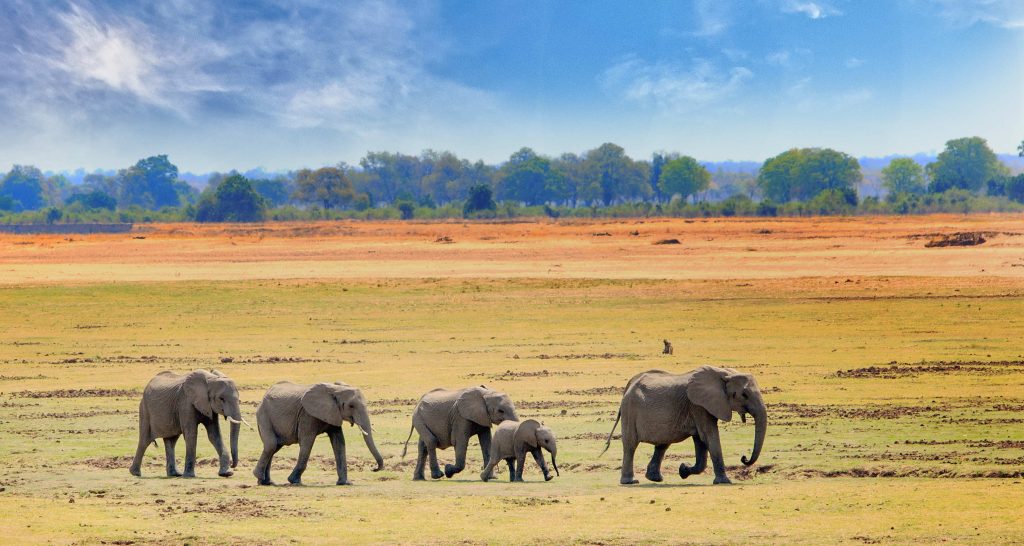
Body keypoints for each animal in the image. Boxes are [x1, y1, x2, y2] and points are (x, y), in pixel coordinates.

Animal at [251, 379, 385, 485]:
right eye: (351, 406)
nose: (374, 468)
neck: (336, 389)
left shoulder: (333, 413)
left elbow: (339, 443)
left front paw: (345, 483)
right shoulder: (307, 415)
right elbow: (307, 442)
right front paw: (294, 481)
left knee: (274, 447)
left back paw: (266, 482)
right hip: (263, 415)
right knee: (271, 445)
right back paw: (260, 478)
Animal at [598, 366, 770, 485]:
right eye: (744, 395)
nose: (744, 458)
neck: (723, 373)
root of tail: (629, 384)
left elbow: (701, 441)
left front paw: (683, 470)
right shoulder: (698, 405)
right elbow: (709, 435)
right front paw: (724, 482)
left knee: (662, 444)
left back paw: (655, 479)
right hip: (630, 410)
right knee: (630, 445)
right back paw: (631, 481)